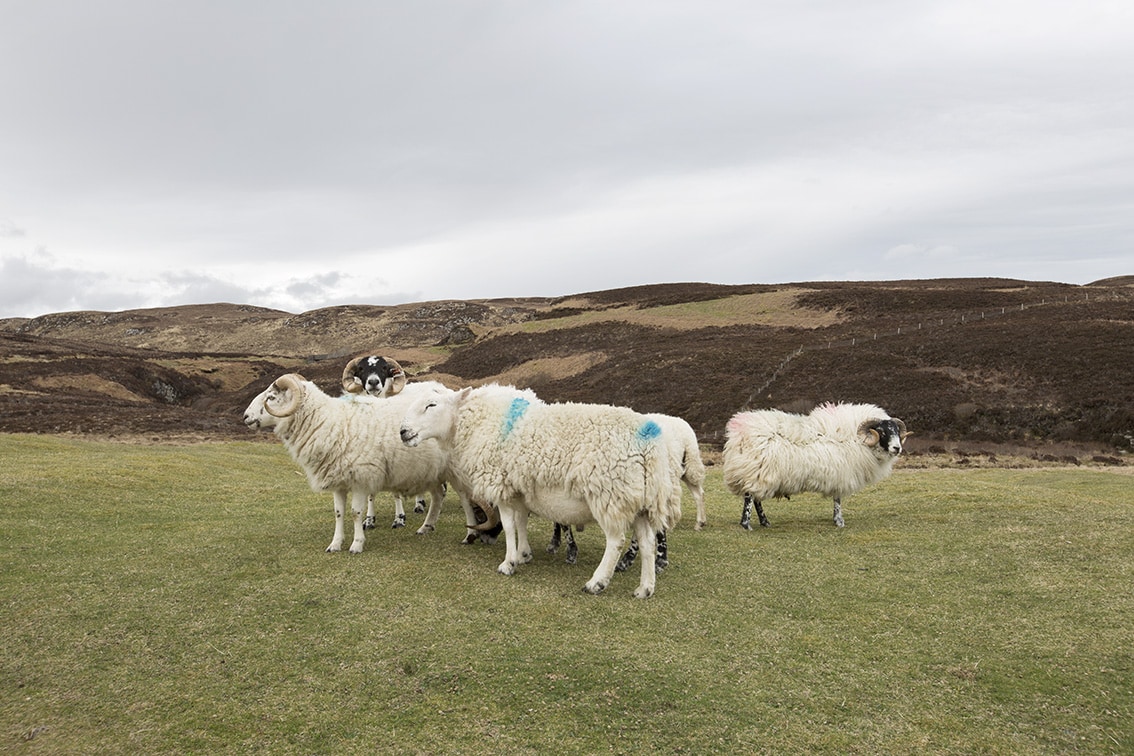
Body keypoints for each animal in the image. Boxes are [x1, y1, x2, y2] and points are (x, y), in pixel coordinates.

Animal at [241, 376, 453, 553]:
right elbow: (339, 513)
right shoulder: (337, 481)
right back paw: (426, 526)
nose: (245, 416)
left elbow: (355, 513)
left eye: (271, 397)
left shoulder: (361, 478)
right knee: (438, 494)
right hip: (434, 471)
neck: (330, 423)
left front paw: (357, 544)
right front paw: (335, 544)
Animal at [399, 387, 680, 598]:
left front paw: (508, 563)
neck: (475, 423)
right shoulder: (519, 490)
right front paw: (523, 554)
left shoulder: (501, 486)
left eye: (432, 405)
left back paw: (597, 582)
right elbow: (521, 522)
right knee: (647, 542)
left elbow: (509, 525)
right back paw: (645, 589)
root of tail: (649, 439)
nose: (403, 432)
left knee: (616, 540)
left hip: (610, 494)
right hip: (641, 501)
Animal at [721, 398, 907, 530]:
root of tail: (740, 432)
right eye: (882, 431)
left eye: (897, 431)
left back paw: (765, 522)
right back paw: (747, 524)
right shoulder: (841, 473)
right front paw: (839, 521)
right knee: (750, 498)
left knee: (756, 498)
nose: (897, 448)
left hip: (758, 473)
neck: (856, 438)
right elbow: (837, 500)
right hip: (757, 471)